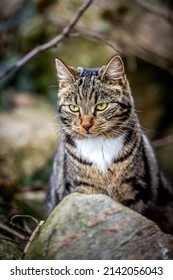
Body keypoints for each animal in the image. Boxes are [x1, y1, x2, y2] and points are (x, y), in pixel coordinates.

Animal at [46, 55, 173, 234]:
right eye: (74, 108)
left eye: (101, 106)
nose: (86, 125)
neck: (99, 145)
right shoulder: (83, 188)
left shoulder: (133, 188)